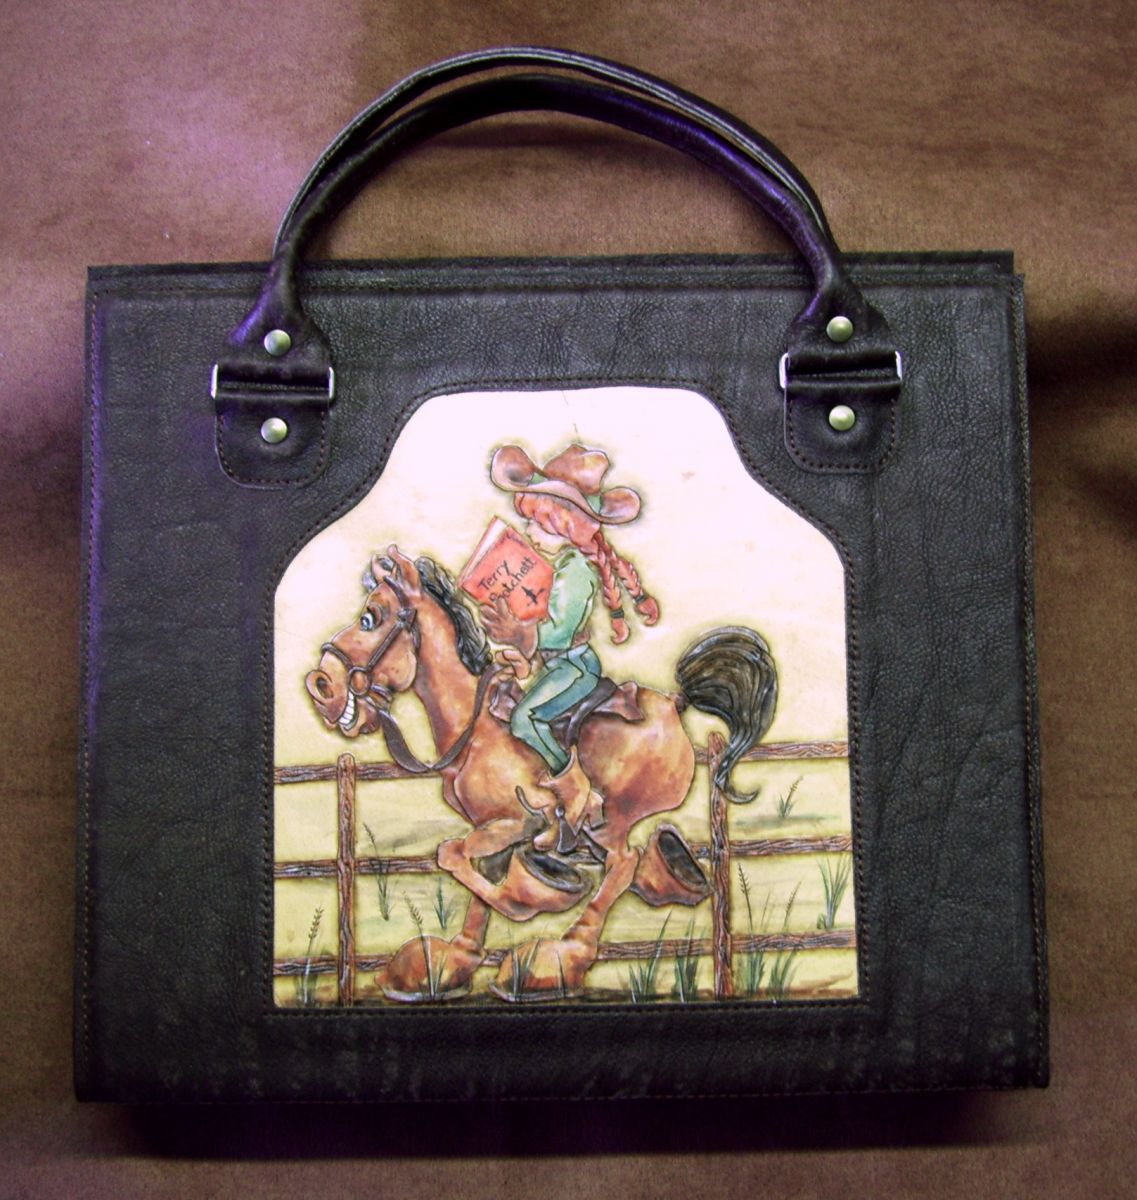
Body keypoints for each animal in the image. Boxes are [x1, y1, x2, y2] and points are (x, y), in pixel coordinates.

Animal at [304, 544, 777, 1002]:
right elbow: (476, 874)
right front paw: (451, 962)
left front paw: (523, 905)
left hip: (615, 819)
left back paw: (561, 956)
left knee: (623, 864)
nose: (321, 685)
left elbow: (452, 856)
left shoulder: (518, 820)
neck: (474, 728)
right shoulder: (488, 825)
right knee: (636, 863)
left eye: (370, 618)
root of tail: (676, 704)